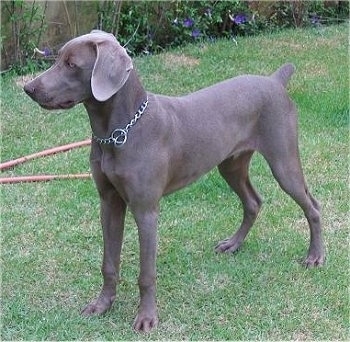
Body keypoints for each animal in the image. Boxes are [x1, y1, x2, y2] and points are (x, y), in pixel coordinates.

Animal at [23, 30, 326, 332]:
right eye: (57, 59)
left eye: (72, 64)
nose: (29, 88)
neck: (119, 132)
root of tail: (275, 80)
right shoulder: (109, 202)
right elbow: (108, 263)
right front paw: (102, 305)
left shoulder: (146, 210)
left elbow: (146, 273)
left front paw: (146, 317)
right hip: (231, 164)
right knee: (253, 201)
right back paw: (233, 244)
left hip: (283, 161)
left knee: (312, 206)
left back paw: (315, 256)